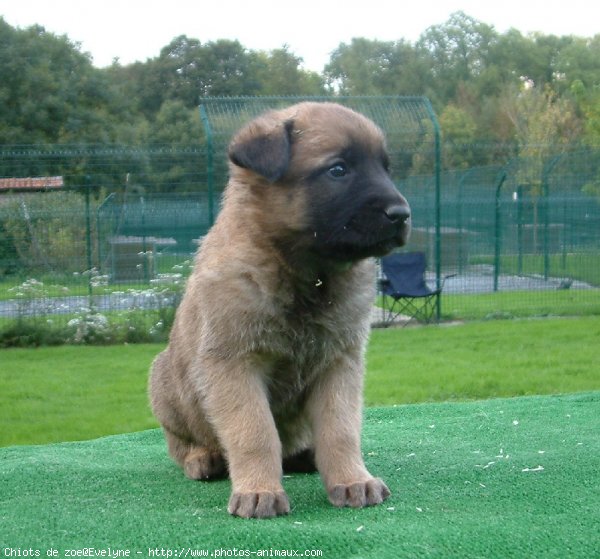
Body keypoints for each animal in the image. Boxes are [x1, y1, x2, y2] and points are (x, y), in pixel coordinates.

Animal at [151, 101, 412, 520]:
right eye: (338, 170)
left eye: (385, 168)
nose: (401, 214)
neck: (307, 276)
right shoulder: (235, 363)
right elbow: (255, 432)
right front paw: (259, 490)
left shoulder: (339, 363)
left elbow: (341, 431)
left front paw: (352, 479)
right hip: (166, 388)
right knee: (180, 443)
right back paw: (202, 458)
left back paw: (305, 455)